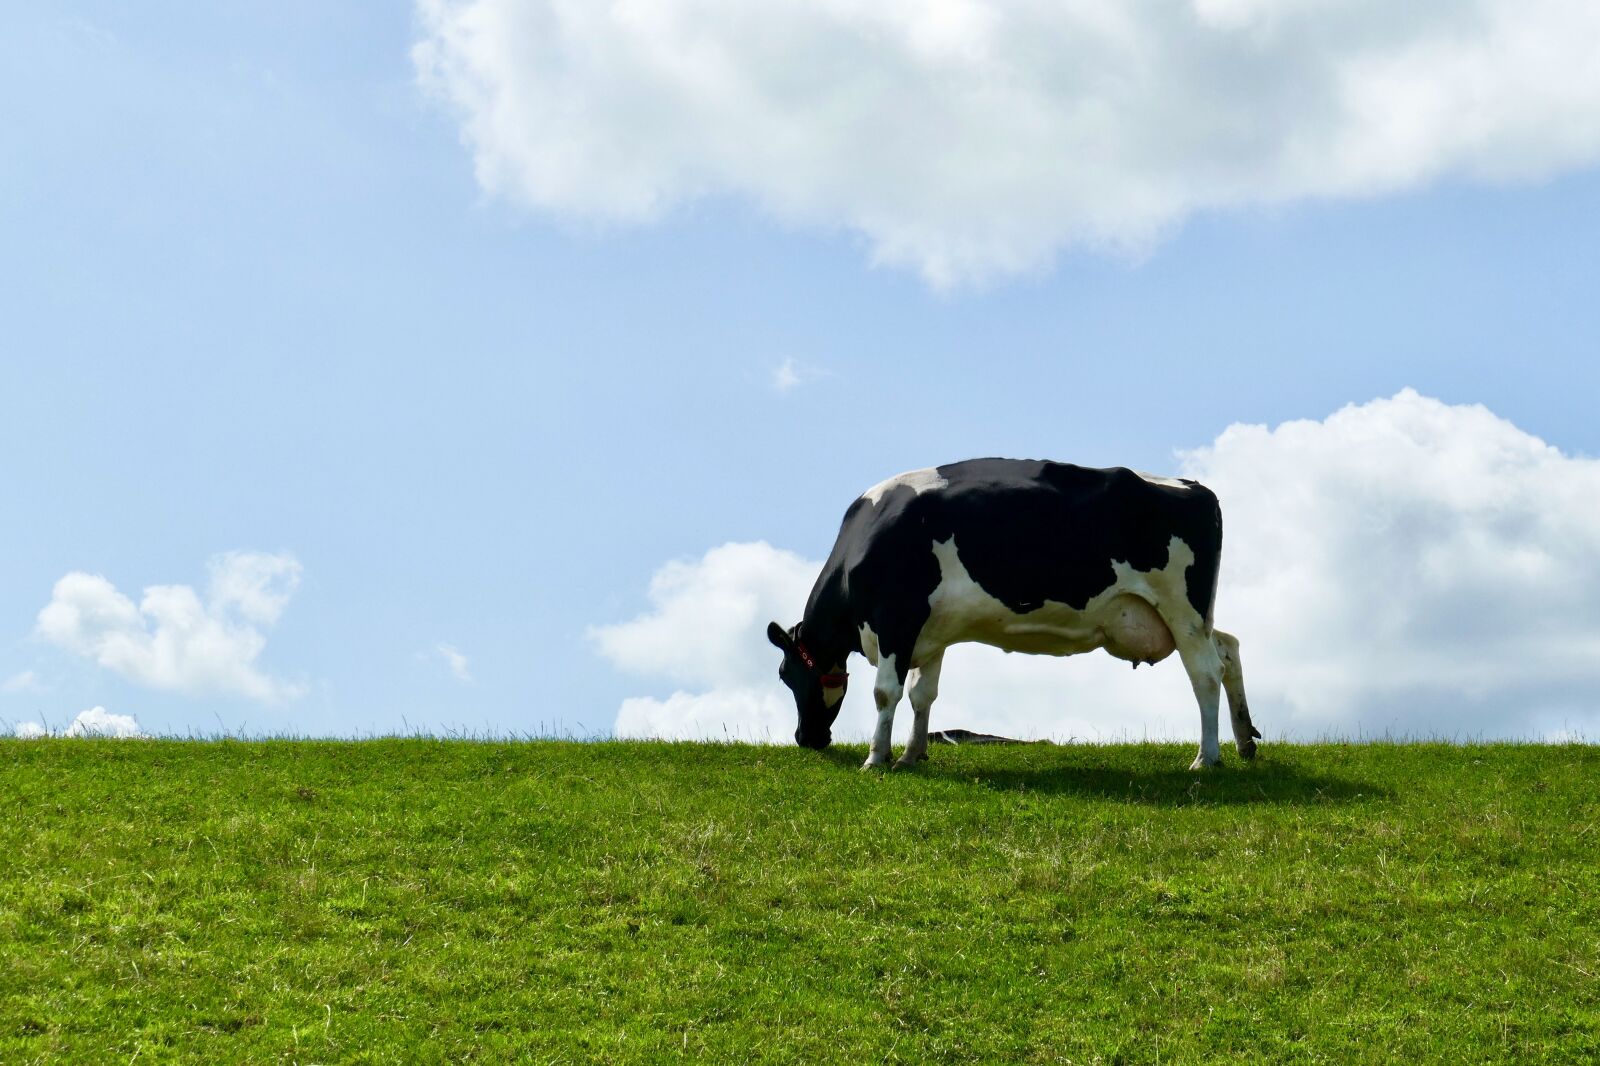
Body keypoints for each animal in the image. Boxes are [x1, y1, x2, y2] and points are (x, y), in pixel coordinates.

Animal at [767, 459, 1260, 771]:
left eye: (786, 674)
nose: (805, 739)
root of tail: (1194, 486)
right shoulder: (929, 631)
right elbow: (923, 694)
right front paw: (912, 755)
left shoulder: (894, 620)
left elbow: (886, 692)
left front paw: (875, 758)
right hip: (1188, 617)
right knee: (1229, 647)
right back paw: (1244, 740)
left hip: (1181, 609)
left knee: (1206, 673)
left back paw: (1206, 758)